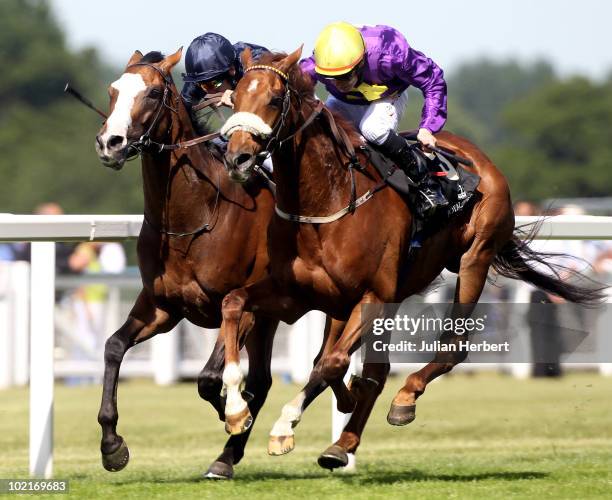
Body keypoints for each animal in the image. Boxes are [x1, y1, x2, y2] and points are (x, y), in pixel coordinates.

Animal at [94, 48, 284, 478]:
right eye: (113, 91)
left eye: (151, 93)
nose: (110, 142)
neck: (191, 217)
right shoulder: (162, 307)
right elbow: (114, 346)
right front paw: (112, 445)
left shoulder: (241, 306)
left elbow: (209, 377)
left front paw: (235, 412)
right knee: (263, 380)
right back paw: (228, 454)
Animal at [216, 47, 604, 468]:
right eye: (235, 98)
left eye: (274, 99)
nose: (238, 158)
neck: (325, 200)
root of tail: (479, 158)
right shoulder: (296, 293)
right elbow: (235, 303)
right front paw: (236, 409)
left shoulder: (371, 295)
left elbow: (332, 362)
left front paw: (284, 425)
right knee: (374, 367)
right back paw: (343, 442)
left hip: (474, 258)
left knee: (452, 345)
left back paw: (403, 400)